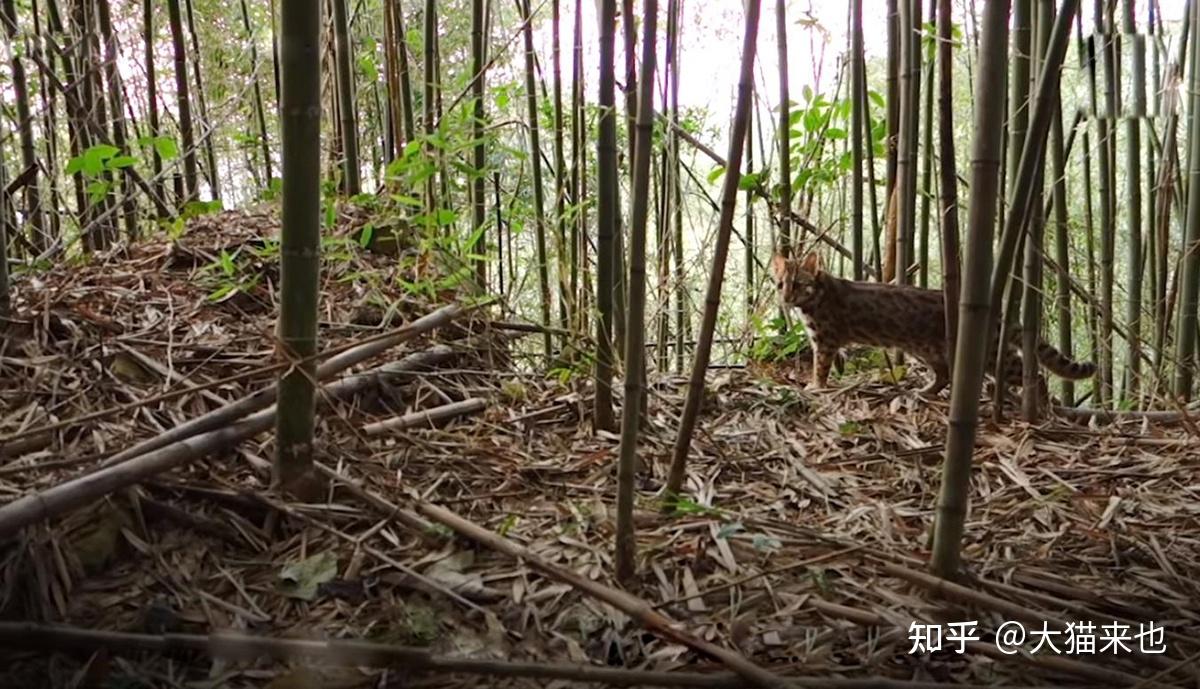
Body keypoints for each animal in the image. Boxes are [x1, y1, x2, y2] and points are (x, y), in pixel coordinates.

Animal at [768, 252, 1099, 393]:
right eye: (779, 283)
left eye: (798, 284)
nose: (785, 297)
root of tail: (995, 310)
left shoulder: (824, 340)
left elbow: (820, 366)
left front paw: (815, 386)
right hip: (927, 351)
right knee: (945, 376)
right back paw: (924, 391)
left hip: (989, 354)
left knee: (1033, 373)